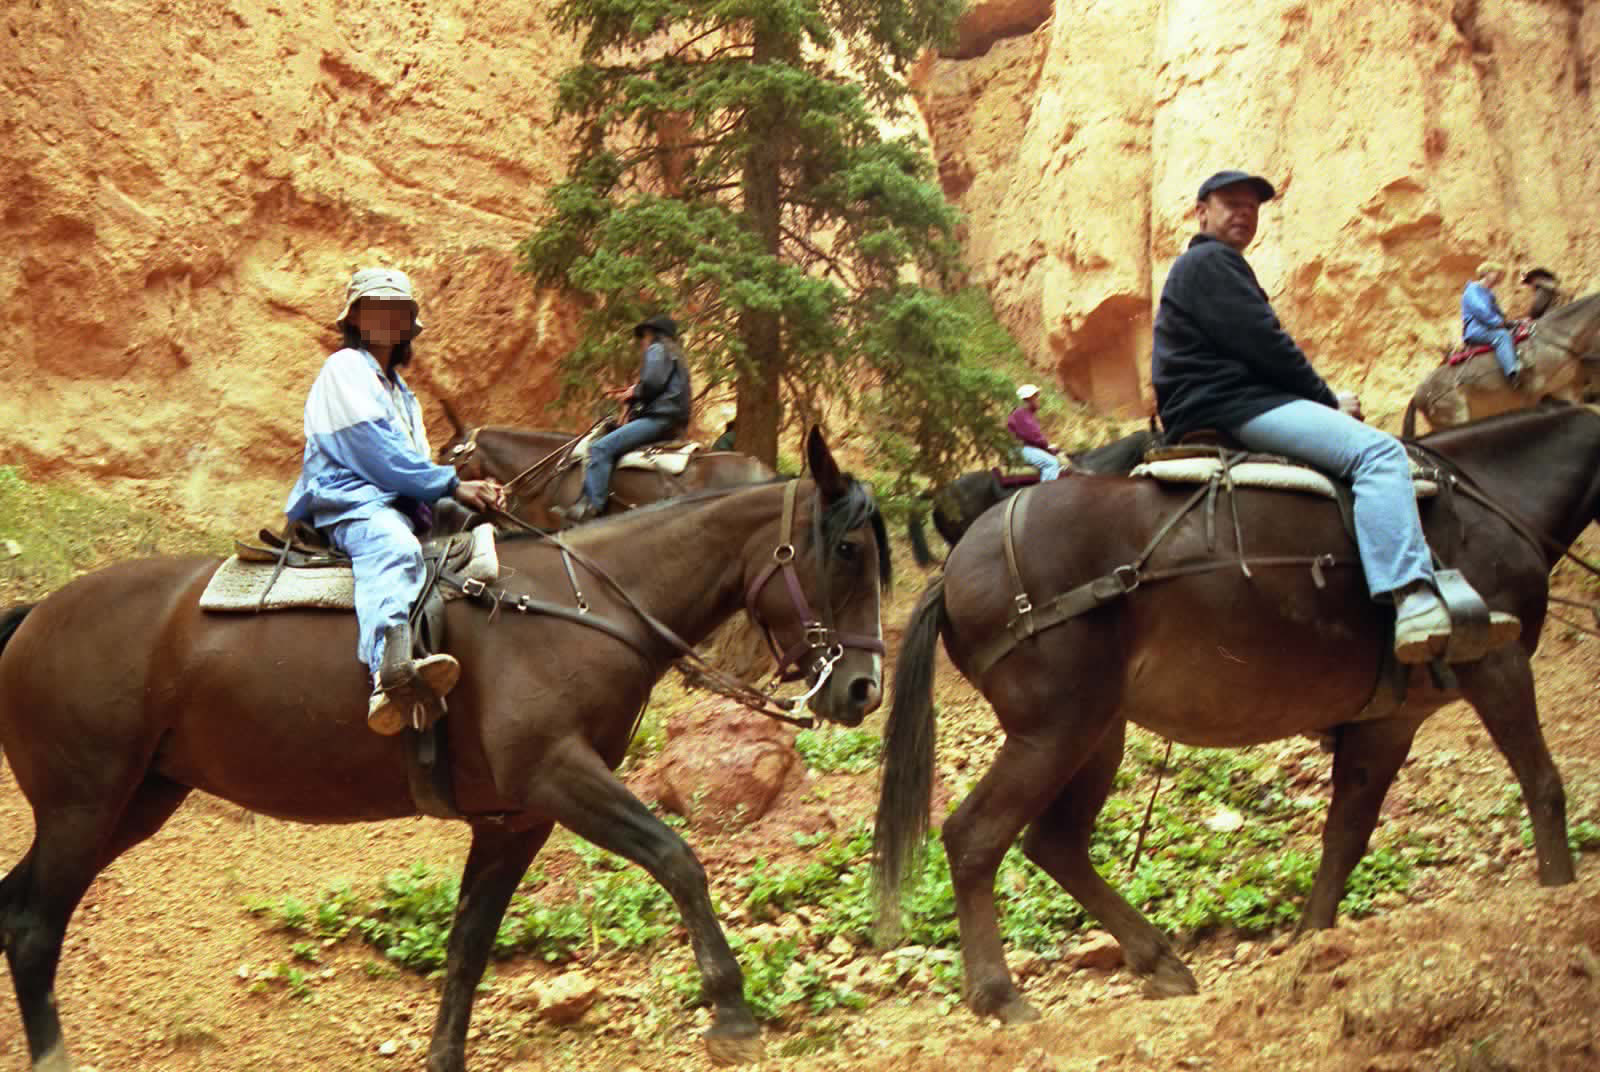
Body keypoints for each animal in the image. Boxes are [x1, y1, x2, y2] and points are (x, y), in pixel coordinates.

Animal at [0, 428, 888, 1072]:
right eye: (847, 551)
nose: (863, 690)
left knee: (19, 908)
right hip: (85, 804)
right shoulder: (560, 777)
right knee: (35, 925)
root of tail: (36, 614)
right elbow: (678, 858)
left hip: (135, 801)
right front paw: (732, 1010)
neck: (584, 608)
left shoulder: (514, 818)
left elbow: (467, 947)